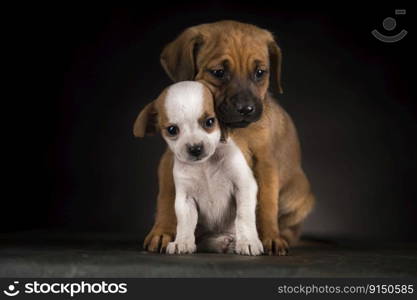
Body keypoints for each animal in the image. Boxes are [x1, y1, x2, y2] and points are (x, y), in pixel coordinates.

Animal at [134, 81, 264, 255]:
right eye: (172, 130)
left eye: (209, 122)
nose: (195, 148)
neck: (204, 166)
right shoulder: (185, 199)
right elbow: (185, 223)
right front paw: (182, 241)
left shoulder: (244, 187)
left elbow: (243, 217)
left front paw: (248, 241)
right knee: (203, 240)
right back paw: (220, 243)